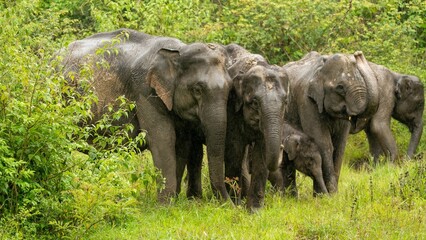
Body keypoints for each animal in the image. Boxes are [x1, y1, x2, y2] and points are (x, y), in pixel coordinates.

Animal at [61, 29, 231, 203]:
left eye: (230, 88)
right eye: (197, 90)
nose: (229, 205)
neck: (179, 51)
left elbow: (182, 143)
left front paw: (174, 200)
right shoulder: (144, 91)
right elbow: (163, 138)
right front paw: (165, 205)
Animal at [282, 50, 380, 195]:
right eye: (340, 87)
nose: (358, 54)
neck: (320, 70)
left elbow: (340, 145)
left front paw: (332, 195)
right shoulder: (306, 101)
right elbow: (324, 143)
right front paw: (328, 196)